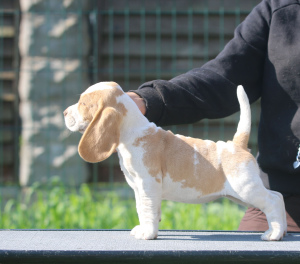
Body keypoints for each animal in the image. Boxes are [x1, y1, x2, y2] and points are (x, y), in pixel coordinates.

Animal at [63, 81, 286, 240]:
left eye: (83, 104)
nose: (64, 112)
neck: (133, 131)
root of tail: (236, 144)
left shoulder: (148, 185)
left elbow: (147, 210)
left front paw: (148, 234)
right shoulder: (139, 188)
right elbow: (143, 209)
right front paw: (144, 229)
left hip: (245, 188)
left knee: (273, 200)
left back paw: (273, 234)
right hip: (241, 193)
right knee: (278, 195)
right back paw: (282, 230)